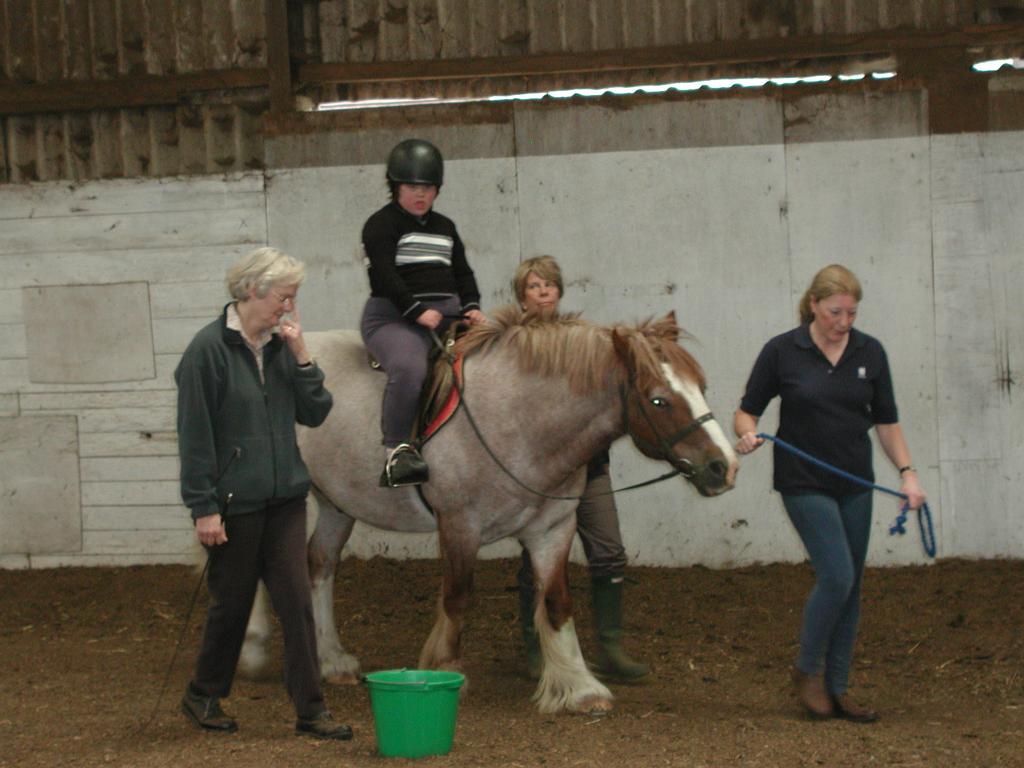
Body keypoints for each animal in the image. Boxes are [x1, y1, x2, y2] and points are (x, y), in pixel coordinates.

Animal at [239, 307, 737, 716]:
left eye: (701, 387)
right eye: (658, 399)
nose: (723, 466)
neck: (519, 419)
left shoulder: (553, 529)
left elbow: (557, 602)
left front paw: (577, 686)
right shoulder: (460, 526)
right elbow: (457, 598)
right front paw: (446, 671)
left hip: (337, 502)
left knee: (319, 562)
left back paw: (331, 659)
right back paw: (253, 648)